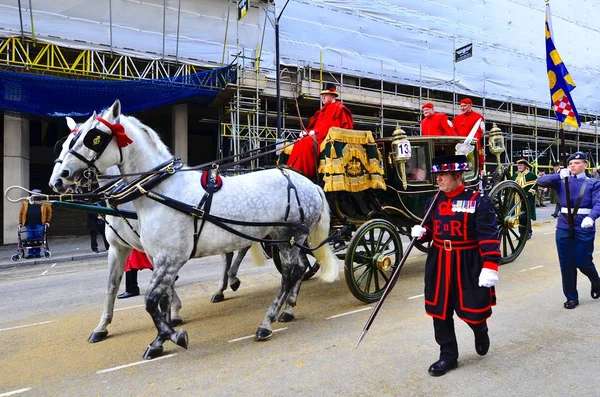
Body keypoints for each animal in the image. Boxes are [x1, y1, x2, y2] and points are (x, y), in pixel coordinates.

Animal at [52, 100, 338, 358]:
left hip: (291, 235)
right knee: (296, 269)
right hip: (282, 237)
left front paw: (172, 335)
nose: (59, 178)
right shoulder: (154, 257)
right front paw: (160, 337)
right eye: (68, 141)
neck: (161, 190)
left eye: (93, 138)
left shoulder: (169, 258)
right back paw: (285, 309)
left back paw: (267, 321)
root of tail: (310, 184)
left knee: (290, 273)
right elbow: (151, 296)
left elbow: (151, 300)